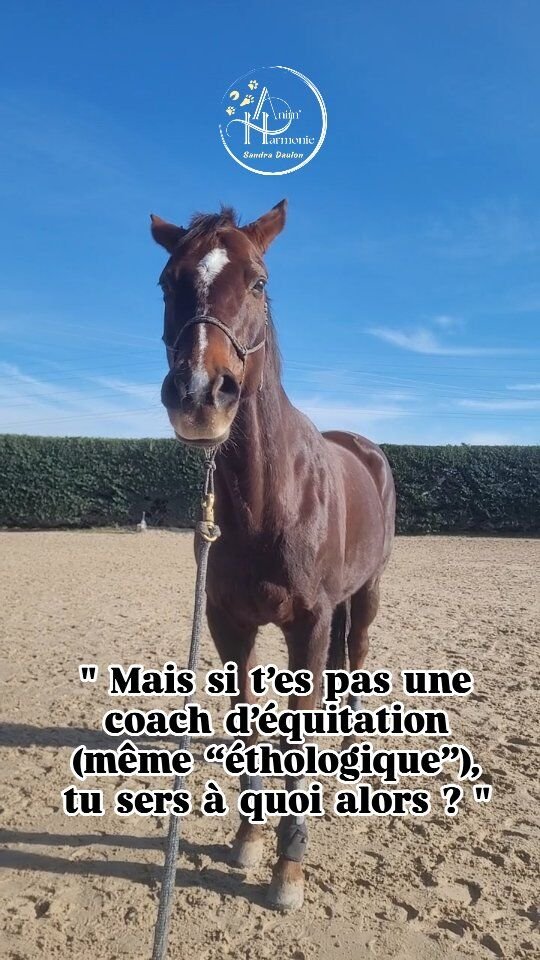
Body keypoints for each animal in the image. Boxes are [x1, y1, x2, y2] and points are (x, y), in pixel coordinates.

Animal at [151, 200, 395, 911]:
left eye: (259, 282)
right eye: (168, 282)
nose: (201, 395)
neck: (271, 500)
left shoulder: (306, 624)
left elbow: (296, 731)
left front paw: (290, 865)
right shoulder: (228, 625)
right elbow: (247, 726)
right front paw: (248, 838)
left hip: (367, 592)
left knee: (357, 652)